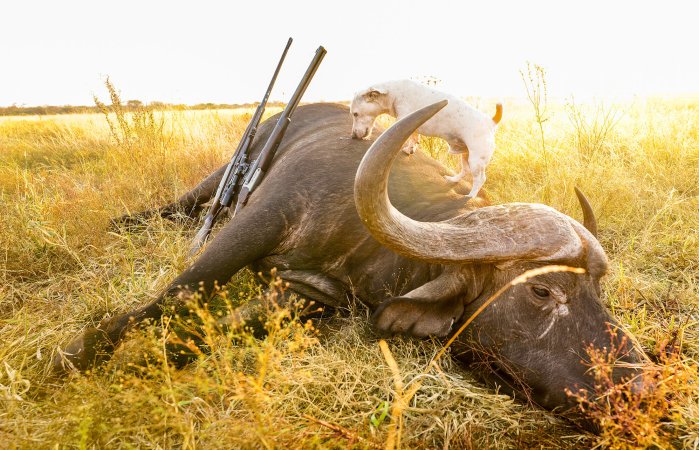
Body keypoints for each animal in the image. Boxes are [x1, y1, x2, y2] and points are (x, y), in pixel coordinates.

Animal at [54, 100, 644, 424]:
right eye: (543, 292)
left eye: (599, 294)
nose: (640, 391)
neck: (372, 241)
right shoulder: (257, 222)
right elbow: (180, 289)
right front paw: (81, 352)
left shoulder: (309, 295)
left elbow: (211, 331)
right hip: (214, 181)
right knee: (180, 207)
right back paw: (125, 223)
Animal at [352, 80, 500, 200]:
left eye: (355, 114)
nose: (353, 136)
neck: (394, 94)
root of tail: (490, 122)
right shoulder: (411, 124)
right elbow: (414, 138)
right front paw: (410, 149)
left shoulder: (403, 119)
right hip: (465, 156)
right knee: (465, 171)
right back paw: (452, 179)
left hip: (476, 160)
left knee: (480, 179)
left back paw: (471, 195)